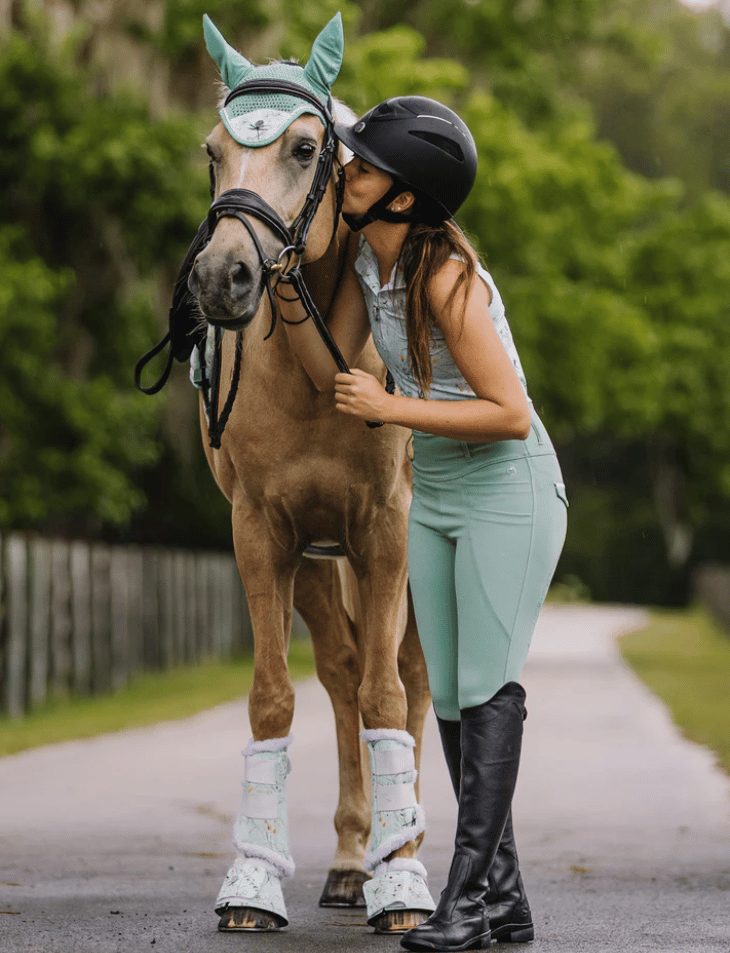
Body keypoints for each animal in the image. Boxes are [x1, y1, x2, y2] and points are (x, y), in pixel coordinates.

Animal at [185, 14, 435, 934]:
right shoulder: (264, 530)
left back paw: (402, 848)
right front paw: (252, 887)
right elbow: (277, 696)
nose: (220, 276)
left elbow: (389, 696)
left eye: (301, 147)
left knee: (405, 677)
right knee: (340, 672)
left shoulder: (389, 531)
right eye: (214, 152)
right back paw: (352, 861)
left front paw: (406, 885)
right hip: (326, 562)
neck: (313, 366)